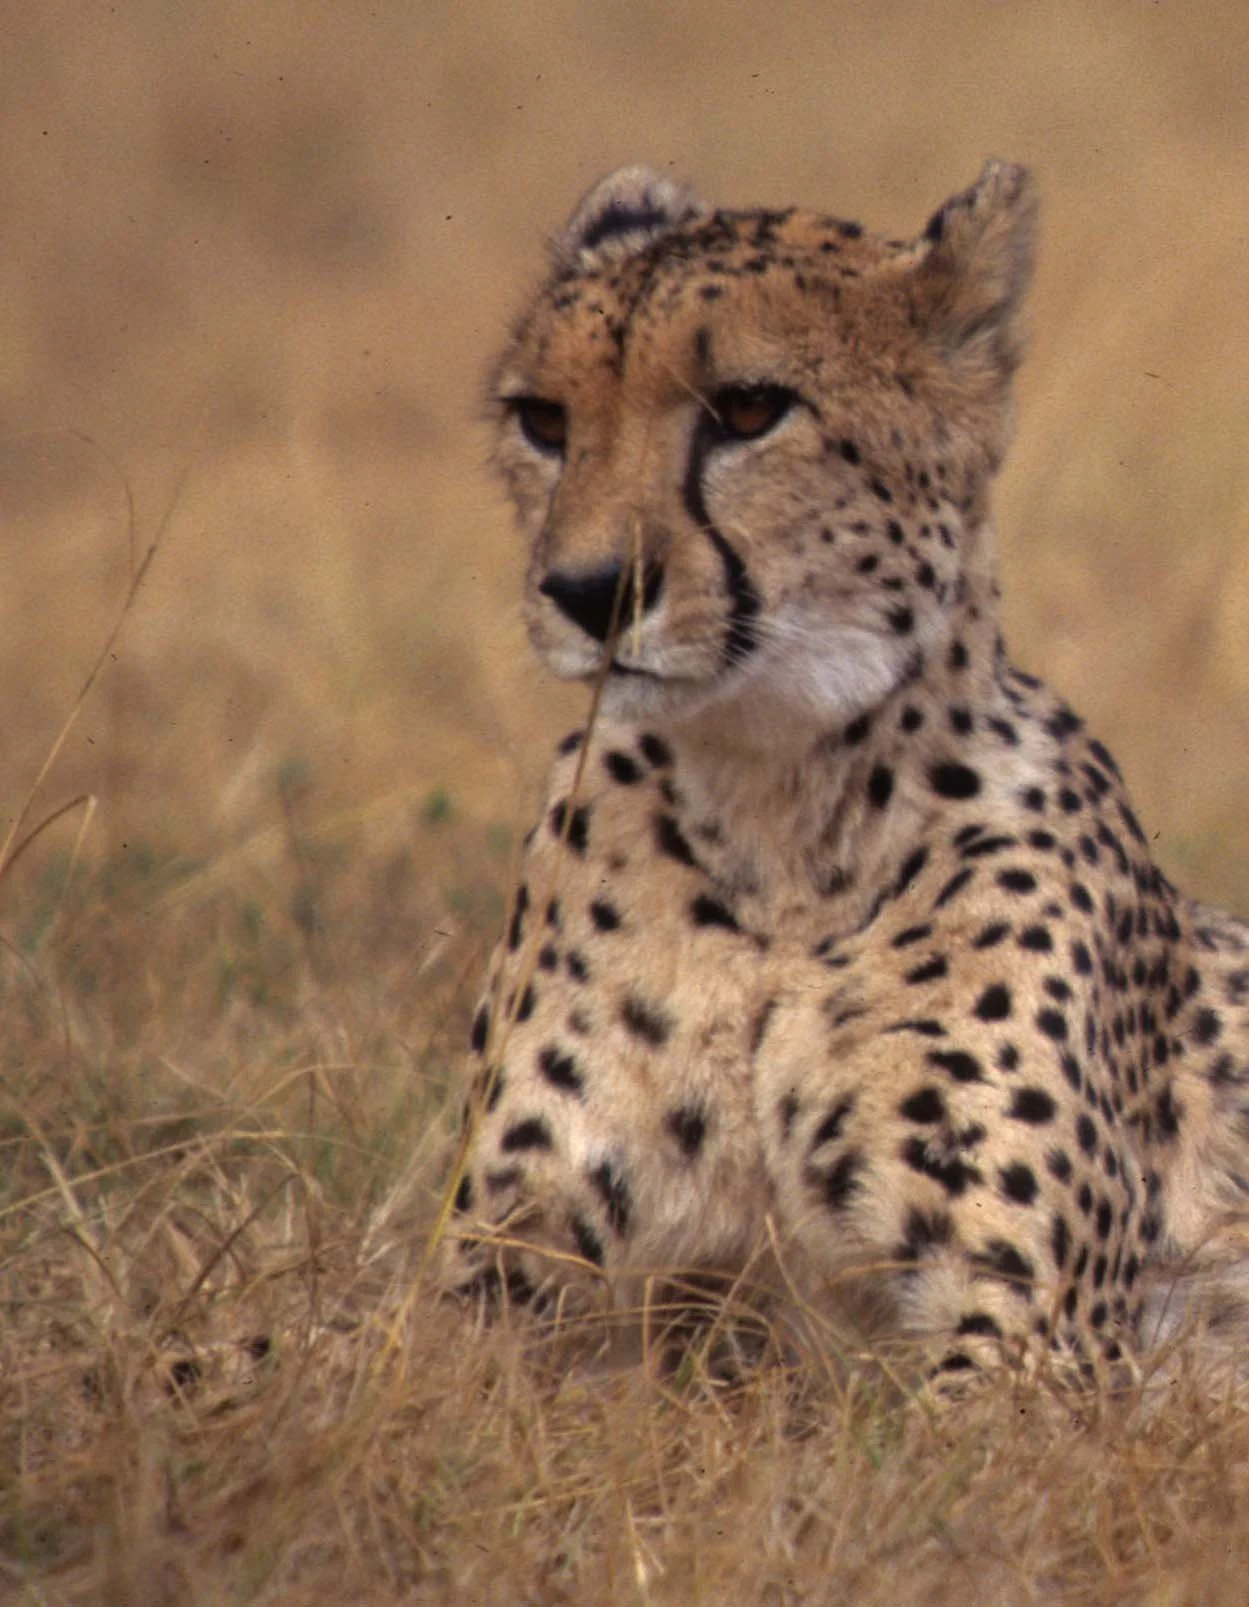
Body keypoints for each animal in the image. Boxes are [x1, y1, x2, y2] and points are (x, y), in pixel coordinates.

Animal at [441, 157, 1249, 1390]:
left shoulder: (1035, 1333)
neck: (776, 817)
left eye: (748, 410)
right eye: (544, 421)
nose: (589, 590)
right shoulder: (501, 1269)